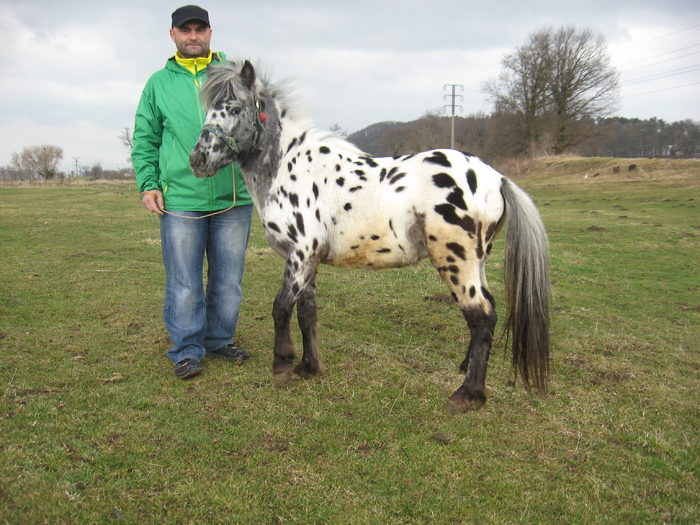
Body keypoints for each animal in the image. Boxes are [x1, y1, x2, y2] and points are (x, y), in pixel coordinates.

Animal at [189, 60, 548, 414]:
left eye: (234, 108)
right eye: (208, 110)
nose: (198, 159)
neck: (288, 168)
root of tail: (496, 178)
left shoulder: (301, 253)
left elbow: (281, 307)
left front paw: (282, 365)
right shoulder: (307, 261)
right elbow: (306, 312)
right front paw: (308, 367)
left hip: (455, 260)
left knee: (481, 315)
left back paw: (468, 394)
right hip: (477, 260)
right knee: (486, 310)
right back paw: (466, 370)